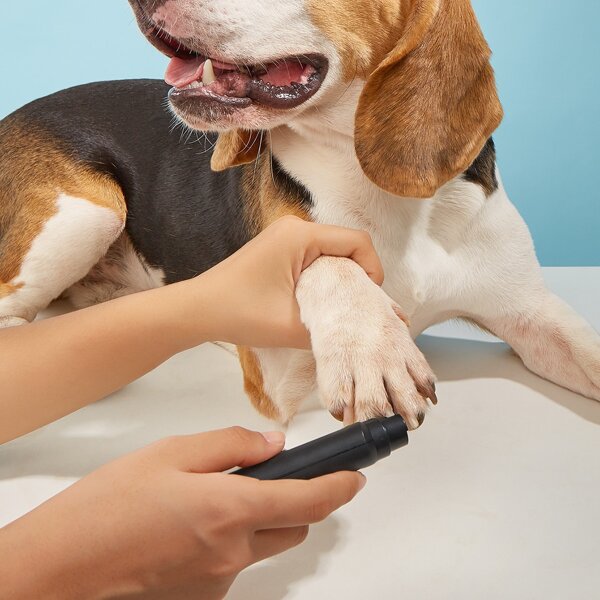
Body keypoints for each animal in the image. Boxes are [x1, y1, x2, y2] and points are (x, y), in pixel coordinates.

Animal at [0, 0, 599, 430]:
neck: (387, 195)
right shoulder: (273, 375)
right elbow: (326, 254)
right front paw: (370, 345)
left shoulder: (532, 312)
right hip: (89, 213)